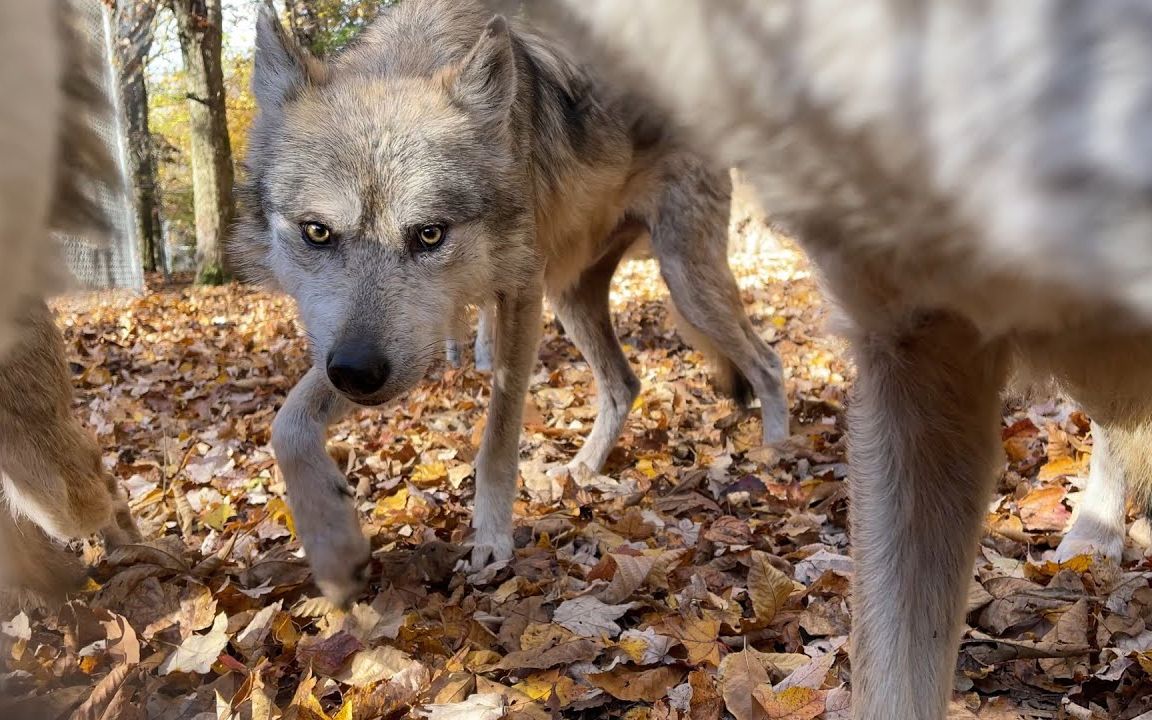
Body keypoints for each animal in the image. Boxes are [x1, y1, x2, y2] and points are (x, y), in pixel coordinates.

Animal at [233, 0, 792, 608]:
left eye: (429, 234)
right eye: (317, 232)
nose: (357, 372)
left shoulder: (517, 294)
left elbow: (498, 439)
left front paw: (492, 540)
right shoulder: (385, 346)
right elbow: (287, 425)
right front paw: (335, 550)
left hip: (685, 282)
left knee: (768, 362)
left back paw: (775, 456)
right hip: (572, 298)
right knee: (625, 384)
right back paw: (580, 472)